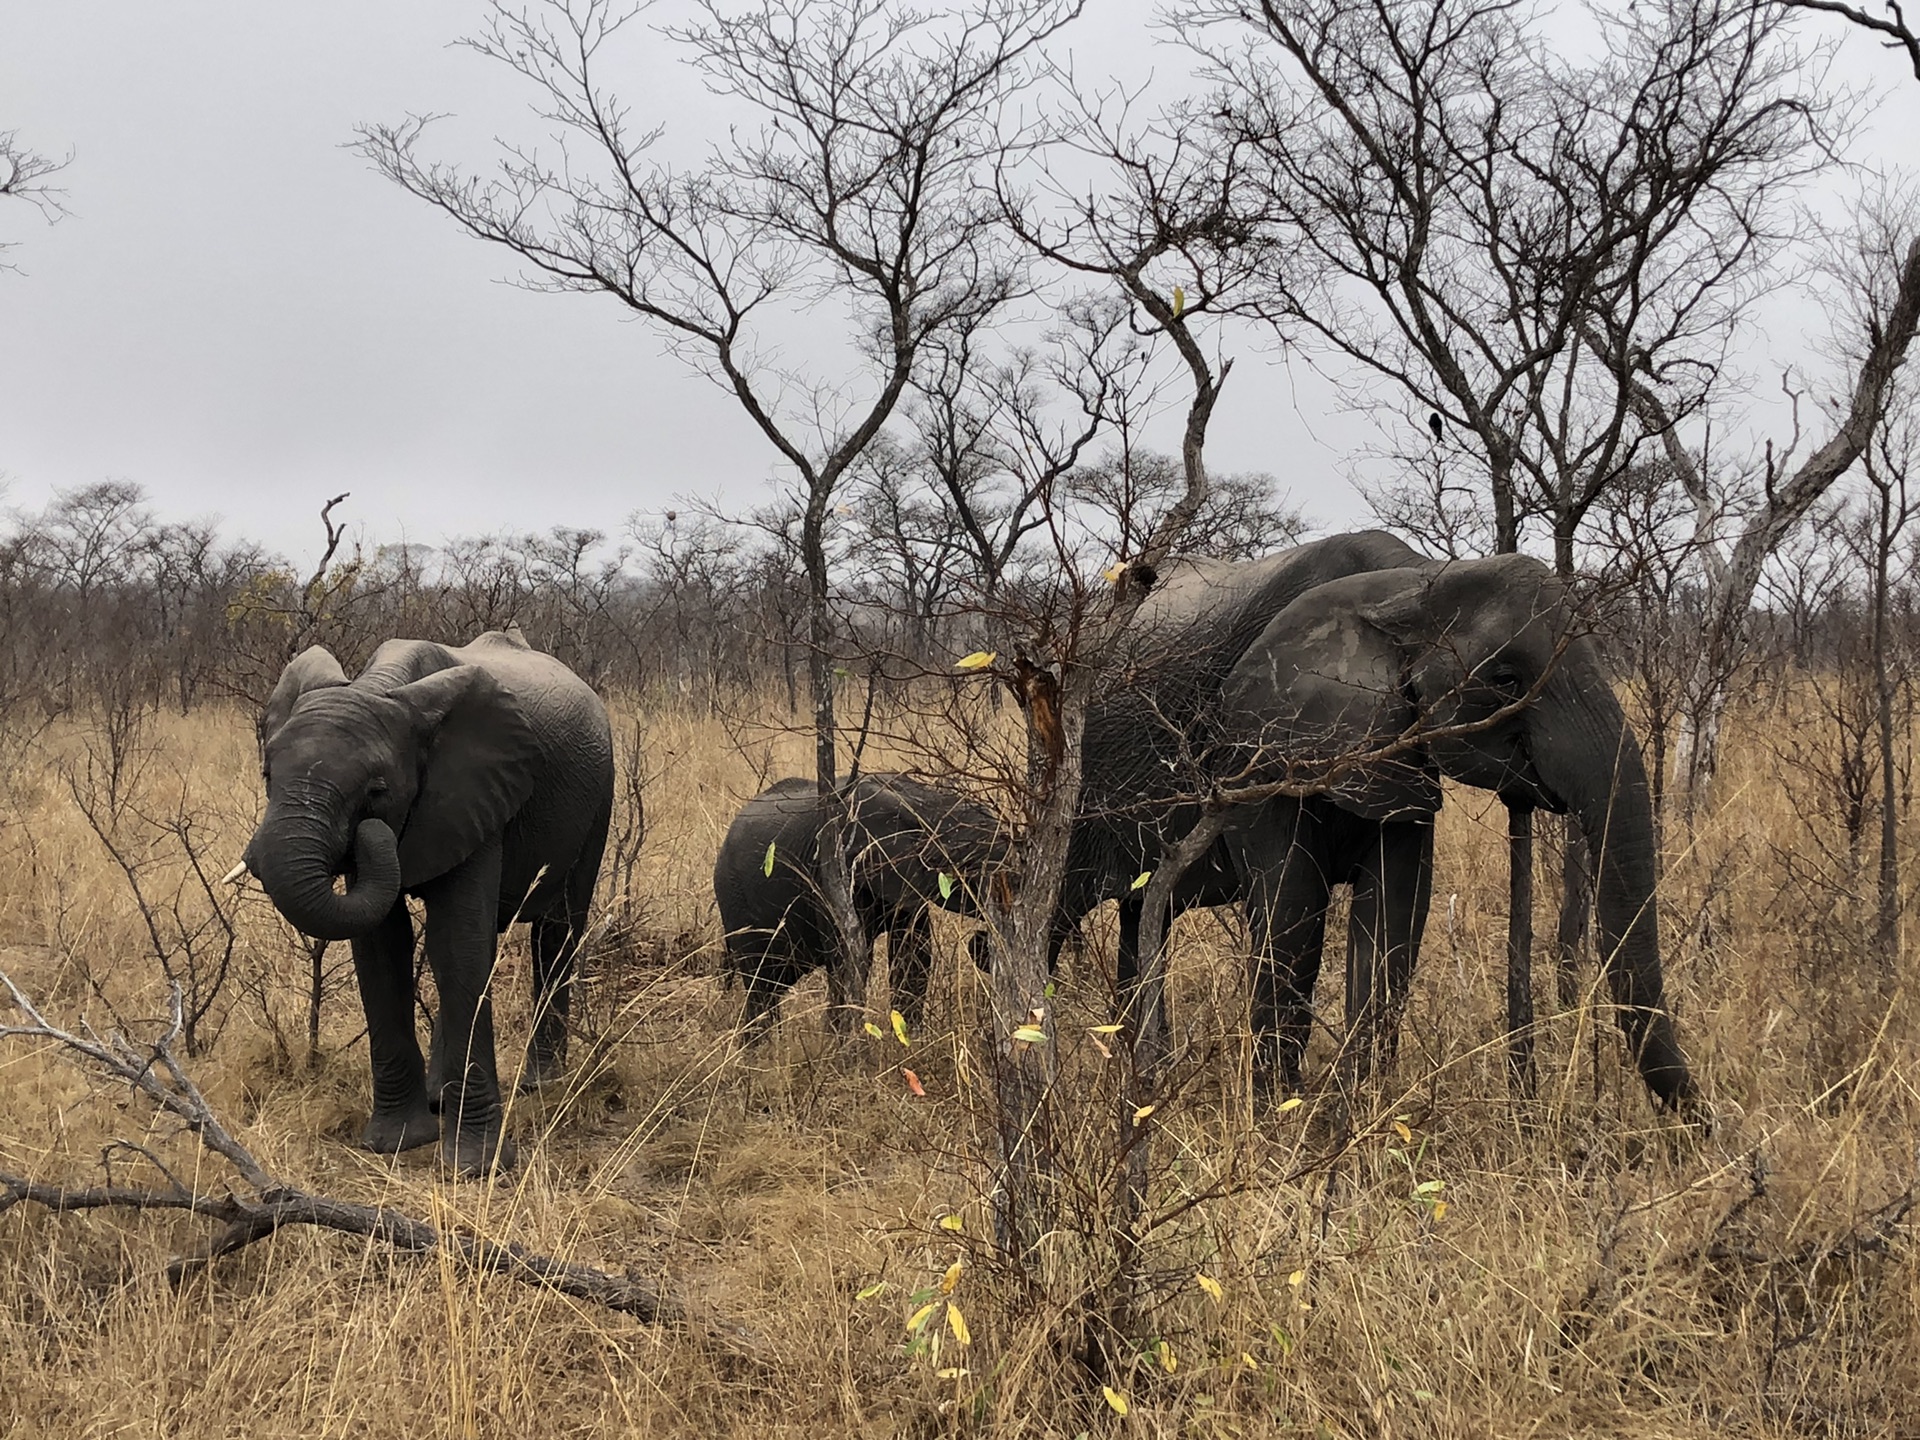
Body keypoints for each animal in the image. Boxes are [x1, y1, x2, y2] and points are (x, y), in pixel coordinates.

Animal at [243, 629, 610, 1175]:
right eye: (268, 775)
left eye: (376, 791)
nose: (368, 833)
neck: (381, 685)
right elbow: (382, 946)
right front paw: (396, 1143)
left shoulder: (475, 791)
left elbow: (455, 942)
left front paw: (476, 1167)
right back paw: (441, 1094)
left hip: (600, 792)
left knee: (557, 928)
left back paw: (540, 1083)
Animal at [710, 779, 1006, 1036]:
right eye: (972, 866)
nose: (981, 940)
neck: (922, 802)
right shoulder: (829, 873)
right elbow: (850, 960)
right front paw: (839, 1045)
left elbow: (913, 956)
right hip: (734, 899)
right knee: (760, 985)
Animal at [1213, 556, 1697, 1113]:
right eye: (1506, 681)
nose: (1707, 1122)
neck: (1408, 585)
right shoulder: (1260, 756)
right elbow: (1291, 915)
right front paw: (1283, 1115)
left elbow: (1394, 918)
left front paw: (1350, 1112)